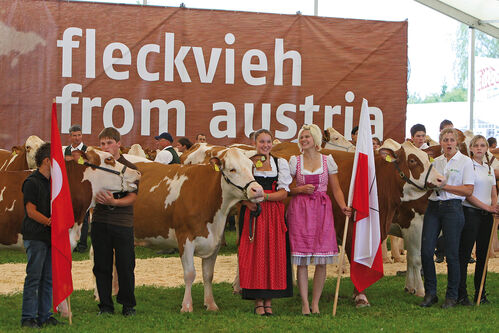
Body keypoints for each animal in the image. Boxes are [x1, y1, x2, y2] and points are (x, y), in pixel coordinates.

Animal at [133, 148, 266, 312]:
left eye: (252, 167)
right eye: (232, 169)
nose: (257, 190)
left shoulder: (215, 241)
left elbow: (208, 275)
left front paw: (211, 304)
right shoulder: (185, 238)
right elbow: (190, 274)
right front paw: (187, 306)